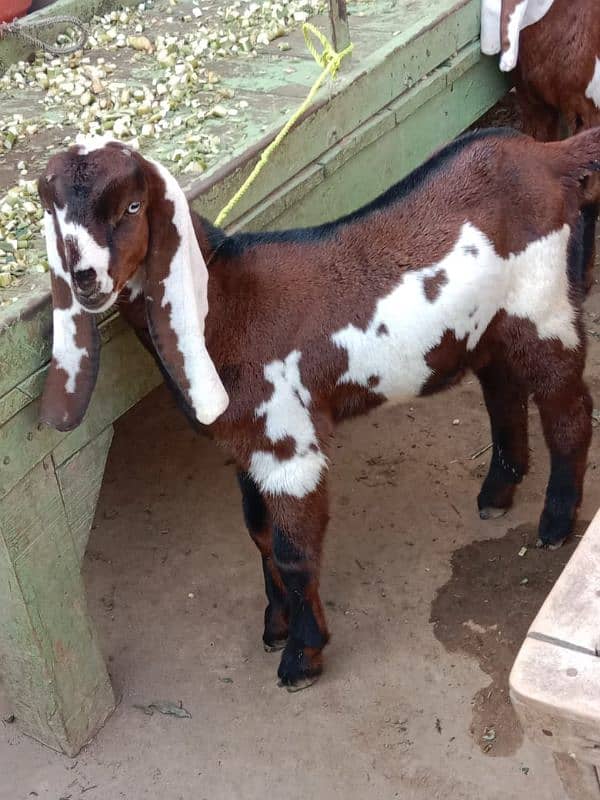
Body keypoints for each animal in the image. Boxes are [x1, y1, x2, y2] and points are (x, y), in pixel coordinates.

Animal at [37, 130, 600, 688]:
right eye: (54, 213)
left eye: (132, 207)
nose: (86, 279)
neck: (225, 301)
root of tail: (550, 156)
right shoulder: (248, 446)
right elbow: (260, 535)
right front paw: (276, 625)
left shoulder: (289, 444)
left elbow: (294, 552)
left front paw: (302, 656)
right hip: (487, 328)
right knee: (503, 391)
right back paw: (498, 491)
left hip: (543, 305)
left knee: (569, 409)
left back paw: (554, 523)